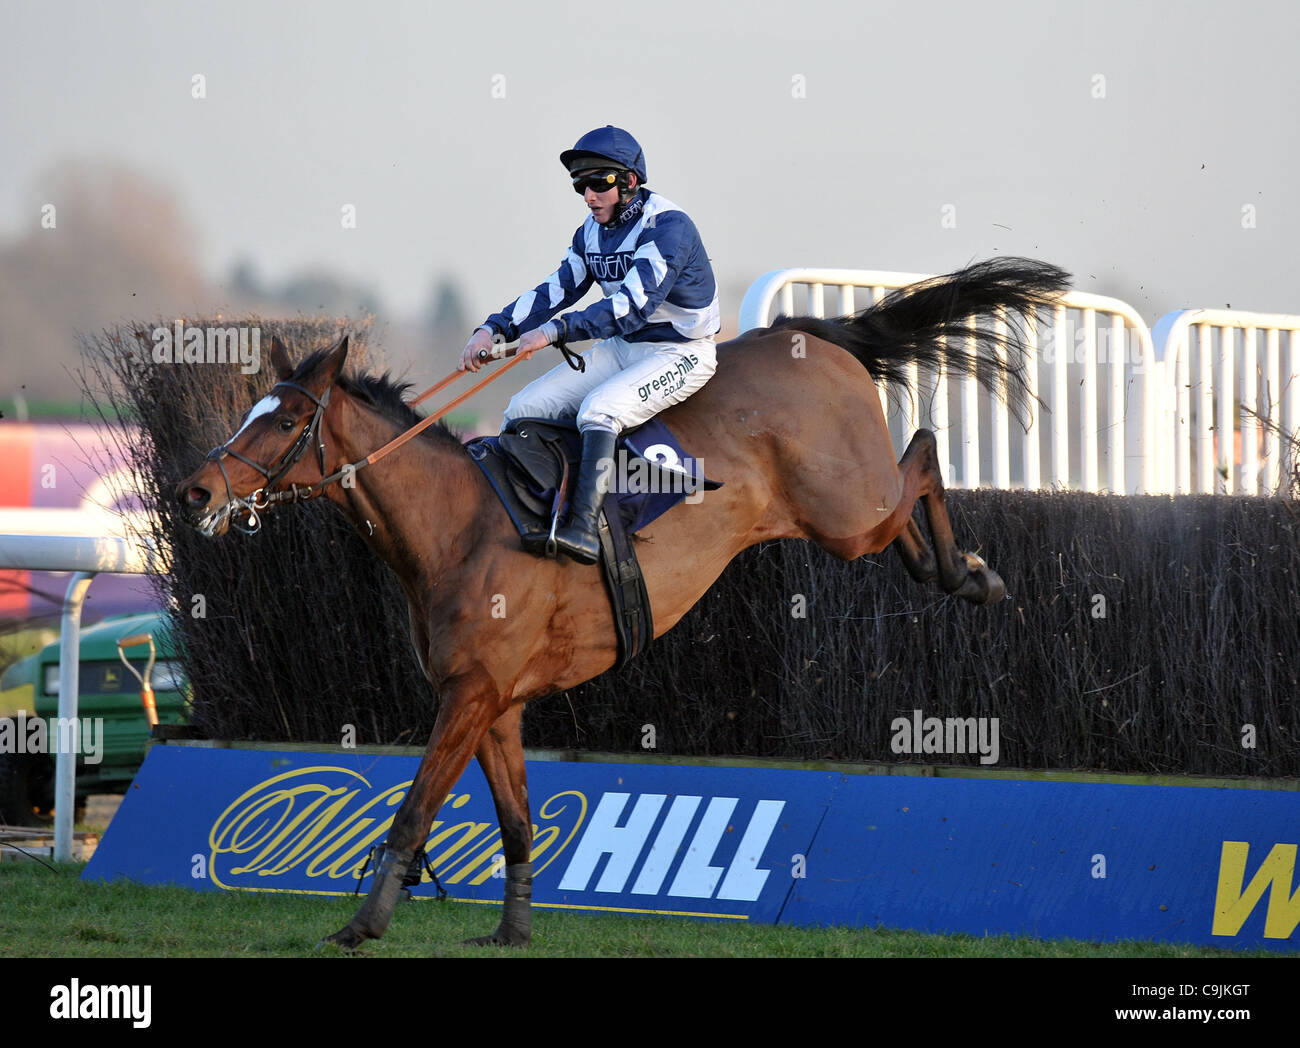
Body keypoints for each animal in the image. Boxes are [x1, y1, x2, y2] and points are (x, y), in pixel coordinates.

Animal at [172, 256, 1066, 951]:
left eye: (285, 417)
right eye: (253, 410)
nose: (196, 490)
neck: (457, 525)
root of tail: (812, 338)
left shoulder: (469, 694)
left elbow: (414, 809)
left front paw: (361, 925)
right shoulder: (495, 702)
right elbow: (517, 821)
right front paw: (511, 931)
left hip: (848, 510)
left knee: (923, 454)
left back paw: (972, 573)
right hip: (848, 517)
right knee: (912, 490)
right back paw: (955, 572)